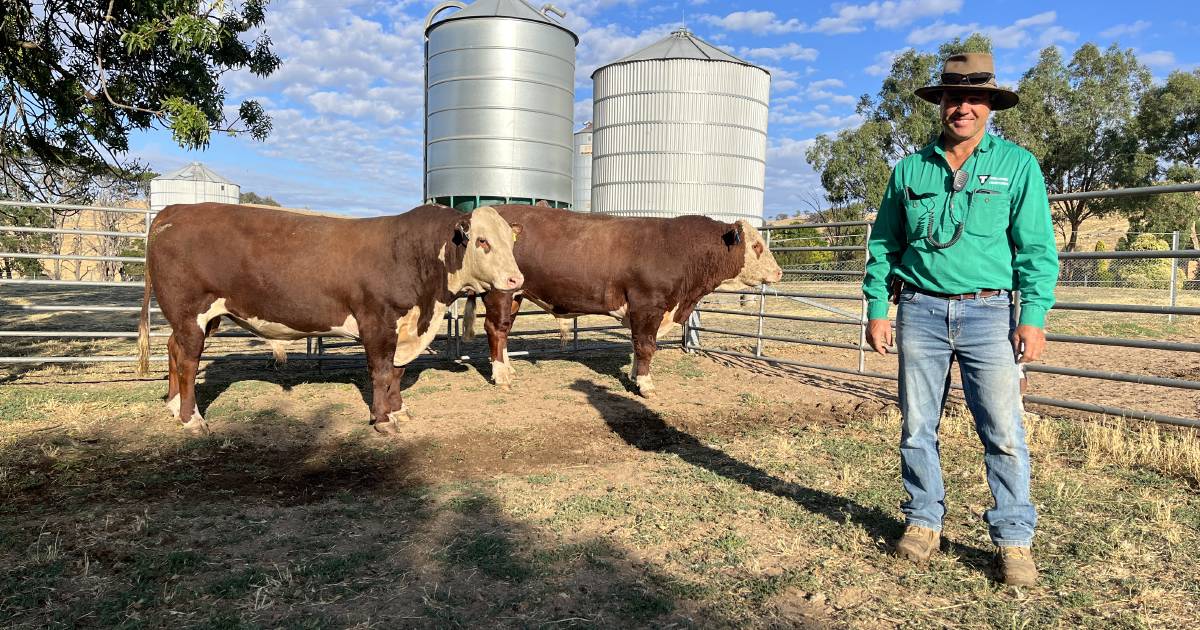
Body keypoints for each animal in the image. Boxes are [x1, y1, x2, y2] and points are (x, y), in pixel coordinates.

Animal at [136, 201, 520, 432]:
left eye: (510, 242)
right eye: (482, 241)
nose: (517, 279)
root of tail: (175, 210)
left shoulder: (406, 328)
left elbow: (397, 372)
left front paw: (399, 410)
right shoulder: (377, 322)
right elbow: (381, 373)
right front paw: (383, 420)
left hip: (197, 319)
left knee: (173, 351)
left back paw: (173, 406)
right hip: (190, 313)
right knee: (188, 362)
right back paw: (191, 419)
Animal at [460, 204, 787, 396]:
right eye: (756, 246)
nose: (779, 271)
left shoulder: (642, 310)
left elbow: (637, 344)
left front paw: (633, 375)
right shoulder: (648, 304)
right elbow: (646, 345)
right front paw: (645, 384)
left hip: (516, 294)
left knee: (503, 331)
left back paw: (507, 368)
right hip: (501, 291)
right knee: (495, 328)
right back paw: (501, 376)